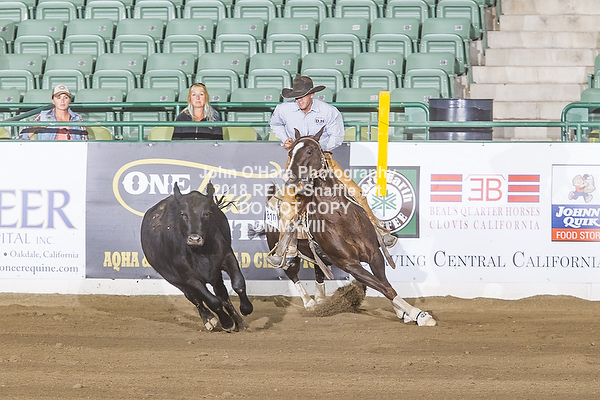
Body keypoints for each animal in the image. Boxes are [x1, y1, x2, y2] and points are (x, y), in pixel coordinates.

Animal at [140, 182, 253, 332]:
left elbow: (238, 284)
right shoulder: (187, 277)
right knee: (195, 298)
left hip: (215, 275)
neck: (200, 252)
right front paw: (226, 322)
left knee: (222, 294)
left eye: (207, 213)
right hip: (174, 279)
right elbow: (212, 301)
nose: (194, 239)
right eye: (183, 214)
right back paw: (209, 319)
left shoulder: (227, 257)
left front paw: (246, 308)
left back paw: (238, 321)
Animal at [268, 127, 436, 326]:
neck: (341, 218)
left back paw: (320, 300)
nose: (289, 177)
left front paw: (406, 312)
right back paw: (310, 303)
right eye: (290, 152)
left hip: (318, 255)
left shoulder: (374, 254)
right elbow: (383, 287)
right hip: (285, 253)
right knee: (292, 273)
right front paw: (418, 314)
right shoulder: (349, 264)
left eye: (309, 151)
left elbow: (384, 283)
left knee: (319, 272)